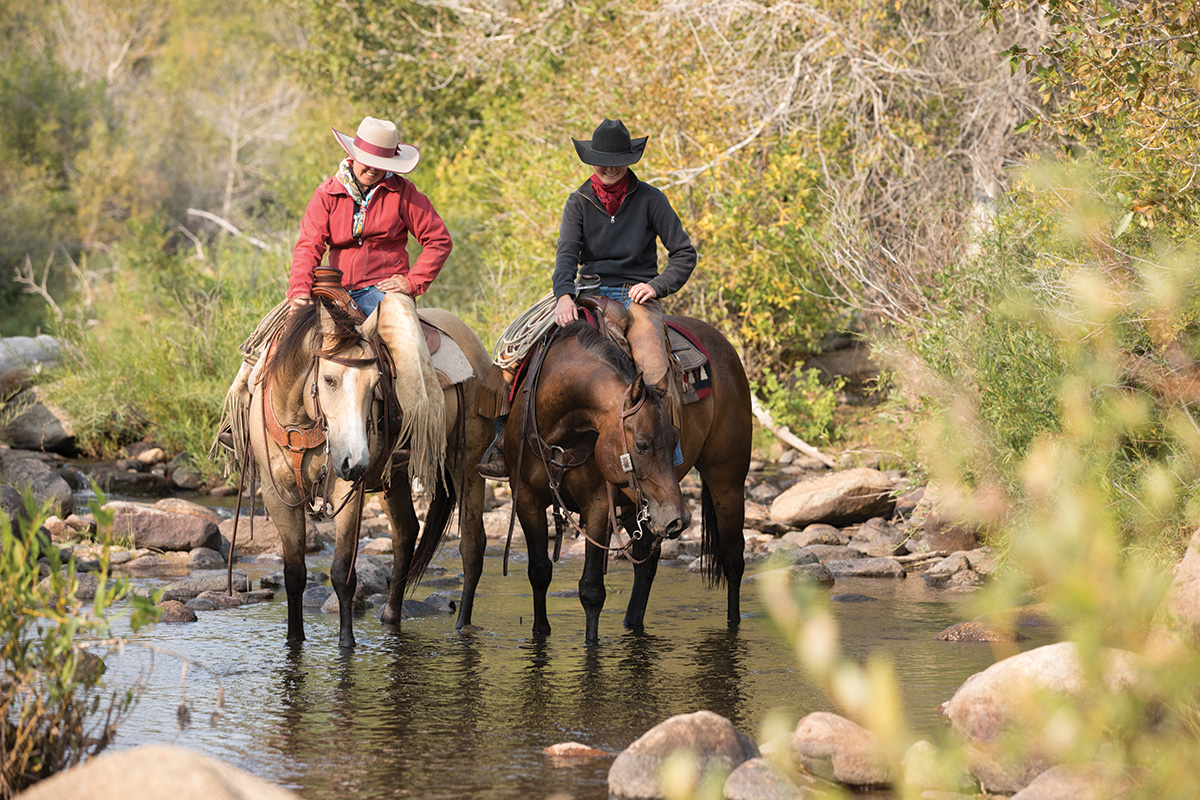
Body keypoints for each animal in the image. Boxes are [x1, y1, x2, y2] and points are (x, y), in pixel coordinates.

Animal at [243, 299, 492, 652]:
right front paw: (294, 639)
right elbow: (294, 573)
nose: (355, 461)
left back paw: (462, 625)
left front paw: (346, 643)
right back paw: (390, 616)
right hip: (395, 478)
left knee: (472, 544)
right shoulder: (278, 495)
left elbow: (342, 574)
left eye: (376, 383)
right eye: (329, 379)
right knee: (406, 533)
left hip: (467, 466)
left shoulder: (346, 494)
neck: (300, 425)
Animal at [506, 316, 748, 642]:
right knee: (646, 564)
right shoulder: (526, 498)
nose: (679, 519)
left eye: (675, 440)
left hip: (727, 482)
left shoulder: (597, 505)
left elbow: (591, 589)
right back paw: (632, 622)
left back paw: (733, 624)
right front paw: (539, 633)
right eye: (642, 445)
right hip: (643, 506)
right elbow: (539, 572)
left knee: (733, 559)